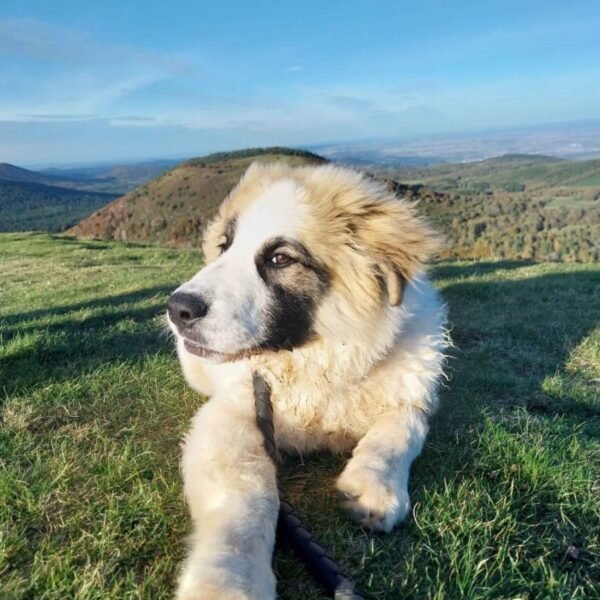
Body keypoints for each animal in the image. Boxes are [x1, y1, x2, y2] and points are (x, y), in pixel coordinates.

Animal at [166, 162, 448, 596]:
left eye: (280, 258)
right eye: (225, 246)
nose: (177, 309)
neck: (313, 364)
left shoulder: (410, 398)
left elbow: (397, 433)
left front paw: (374, 486)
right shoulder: (231, 416)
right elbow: (245, 496)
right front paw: (229, 579)